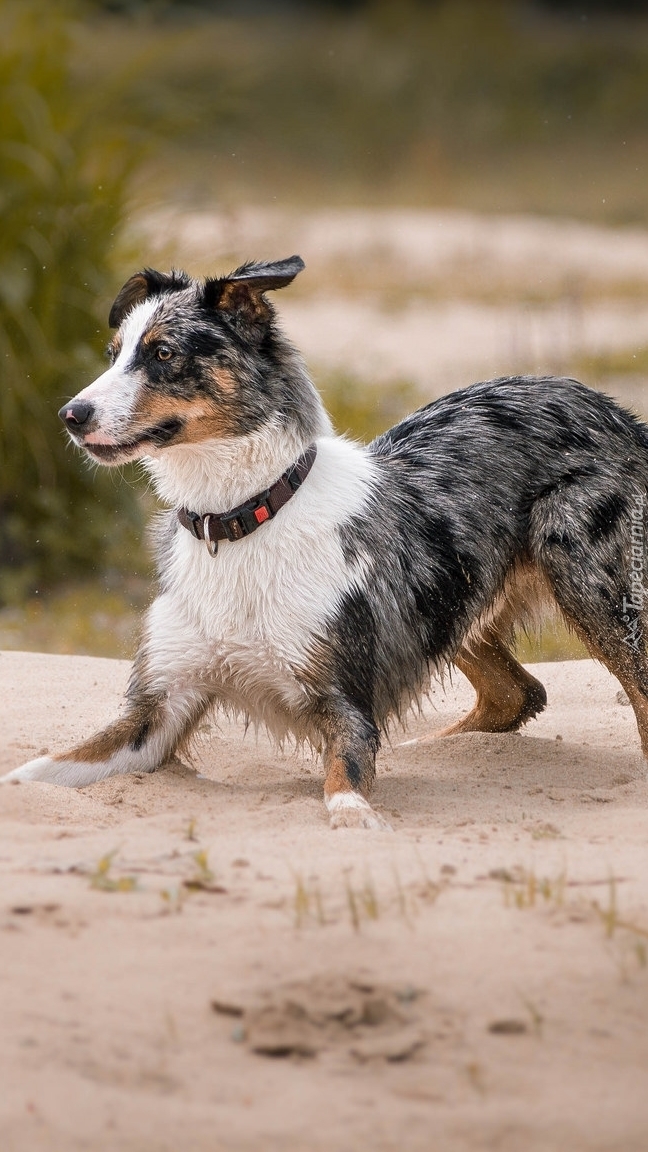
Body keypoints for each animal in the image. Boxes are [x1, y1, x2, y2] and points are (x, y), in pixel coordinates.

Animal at [3, 253, 645, 829]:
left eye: (162, 354)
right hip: (446, 598)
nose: (70, 415)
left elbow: (345, 783)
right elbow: (44, 769)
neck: (240, 519)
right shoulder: (156, 711)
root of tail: (613, 408)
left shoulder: (345, 703)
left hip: (585, 580)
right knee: (518, 693)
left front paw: (355, 818)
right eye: (114, 355)